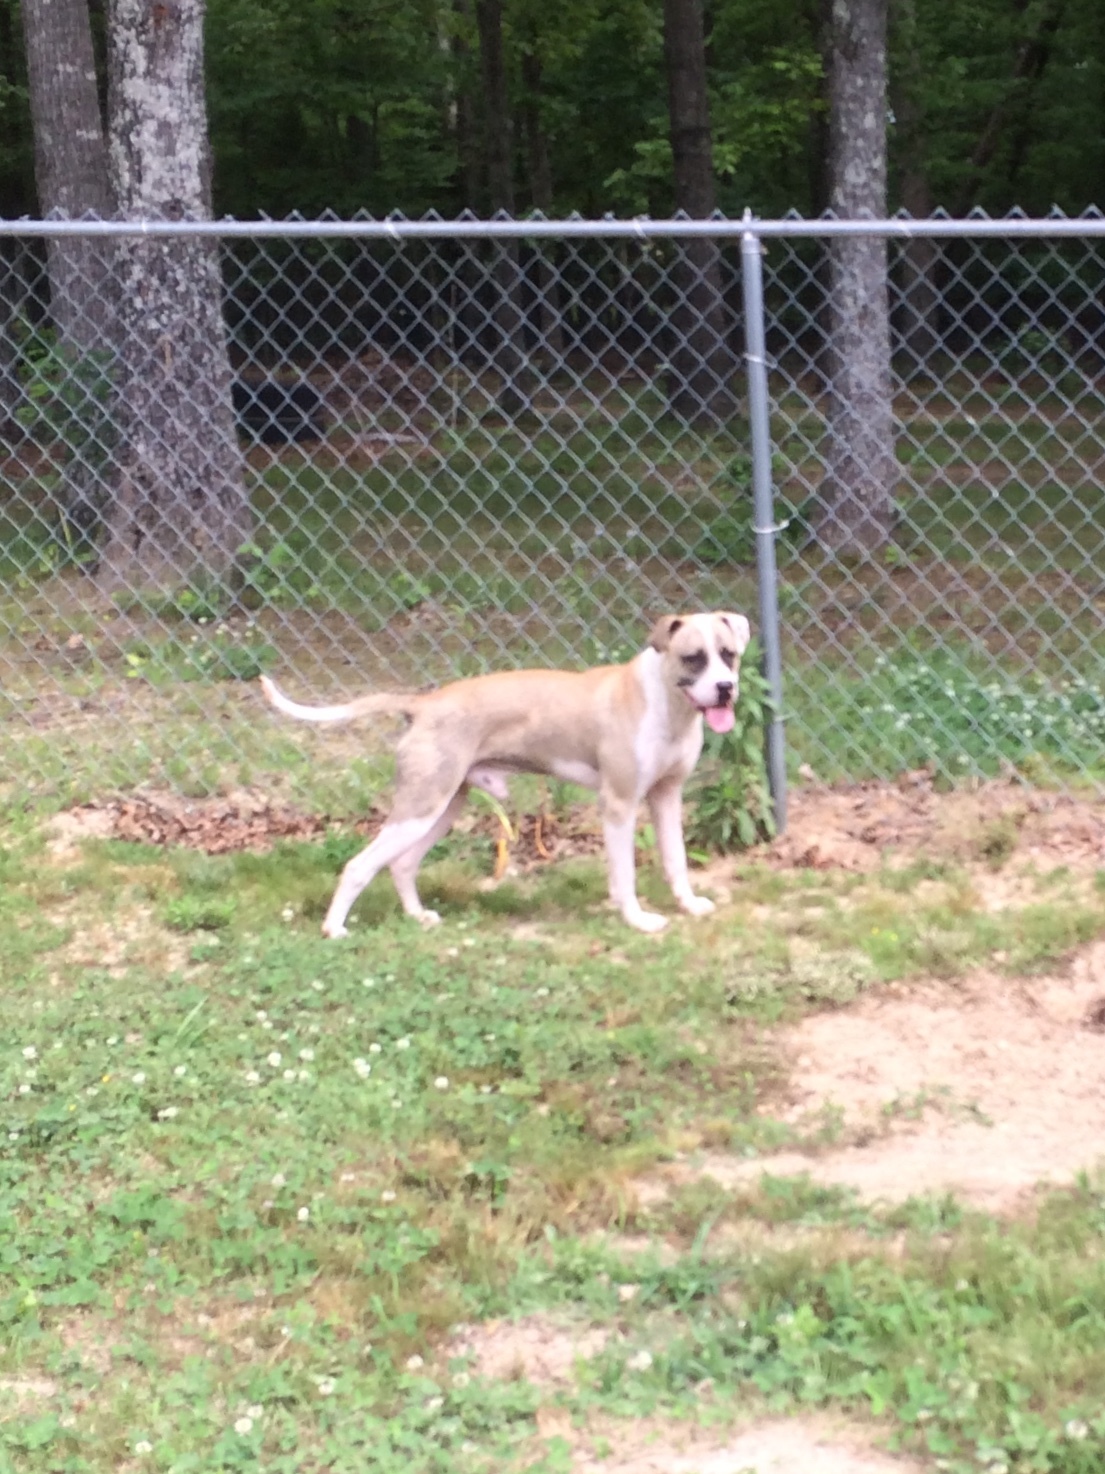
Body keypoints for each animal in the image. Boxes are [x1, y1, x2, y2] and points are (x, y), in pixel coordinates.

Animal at [259, 607, 754, 931]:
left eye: (728, 654)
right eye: (693, 657)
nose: (725, 688)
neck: (666, 704)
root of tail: (422, 704)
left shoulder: (667, 798)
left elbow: (676, 861)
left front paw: (689, 906)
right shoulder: (618, 805)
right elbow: (625, 874)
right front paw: (638, 920)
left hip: (441, 810)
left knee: (401, 865)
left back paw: (418, 917)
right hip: (418, 810)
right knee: (359, 866)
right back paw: (334, 929)